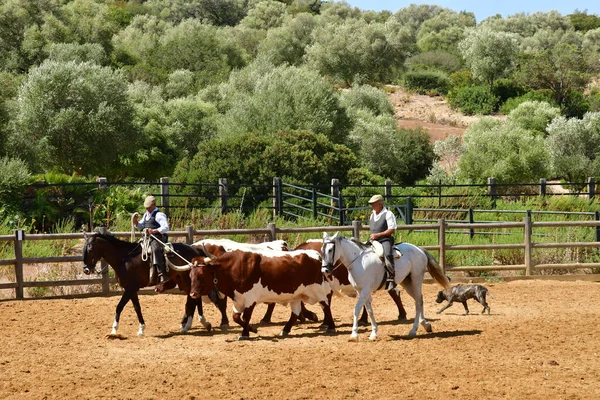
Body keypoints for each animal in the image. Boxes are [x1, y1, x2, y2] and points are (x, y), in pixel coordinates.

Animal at [82, 233, 227, 336]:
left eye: (90, 248)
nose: (86, 270)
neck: (125, 259)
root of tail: (195, 249)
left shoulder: (130, 288)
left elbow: (119, 306)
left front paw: (113, 330)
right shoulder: (132, 289)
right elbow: (137, 308)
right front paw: (141, 329)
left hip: (188, 280)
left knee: (194, 300)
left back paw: (195, 324)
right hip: (184, 281)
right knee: (193, 300)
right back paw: (195, 325)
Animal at [190, 248, 336, 340]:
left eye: (201, 275)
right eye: (191, 275)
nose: (192, 294)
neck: (234, 267)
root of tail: (315, 255)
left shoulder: (250, 298)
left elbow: (246, 316)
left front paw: (244, 334)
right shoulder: (238, 300)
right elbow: (236, 317)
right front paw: (252, 329)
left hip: (318, 290)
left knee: (326, 306)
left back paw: (331, 327)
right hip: (295, 296)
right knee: (295, 313)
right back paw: (285, 330)